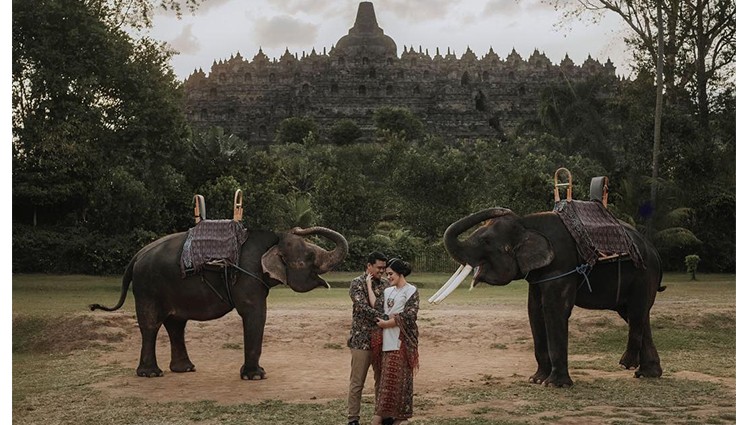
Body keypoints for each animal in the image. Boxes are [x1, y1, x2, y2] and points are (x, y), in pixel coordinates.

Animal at [89, 225, 348, 378]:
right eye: (310, 256)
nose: (298, 227)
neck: (271, 241)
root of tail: (137, 256)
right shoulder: (247, 275)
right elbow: (255, 313)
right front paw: (256, 376)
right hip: (147, 287)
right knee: (151, 325)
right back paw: (152, 374)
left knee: (176, 324)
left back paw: (185, 369)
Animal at [444, 207, 668, 386]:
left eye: (485, 241)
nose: (503, 209)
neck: (527, 224)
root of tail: (656, 252)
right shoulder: (538, 275)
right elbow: (534, 311)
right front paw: (536, 380)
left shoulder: (561, 266)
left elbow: (554, 310)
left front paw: (554, 385)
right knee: (635, 315)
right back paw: (648, 374)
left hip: (644, 274)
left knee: (636, 312)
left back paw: (628, 365)